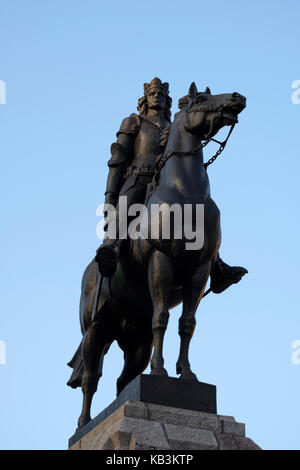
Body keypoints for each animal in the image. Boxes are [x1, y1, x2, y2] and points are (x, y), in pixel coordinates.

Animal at [67, 82, 246, 428]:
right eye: (201, 98)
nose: (237, 98)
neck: (186, 194)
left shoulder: (199, 270)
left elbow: (187, 323)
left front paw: (186, 375)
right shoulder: (161, 260)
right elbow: (162, 317)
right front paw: (161, 371)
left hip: (135, 339)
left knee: (123, 380)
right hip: (96, 328)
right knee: (91, 378)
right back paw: (84, 423)